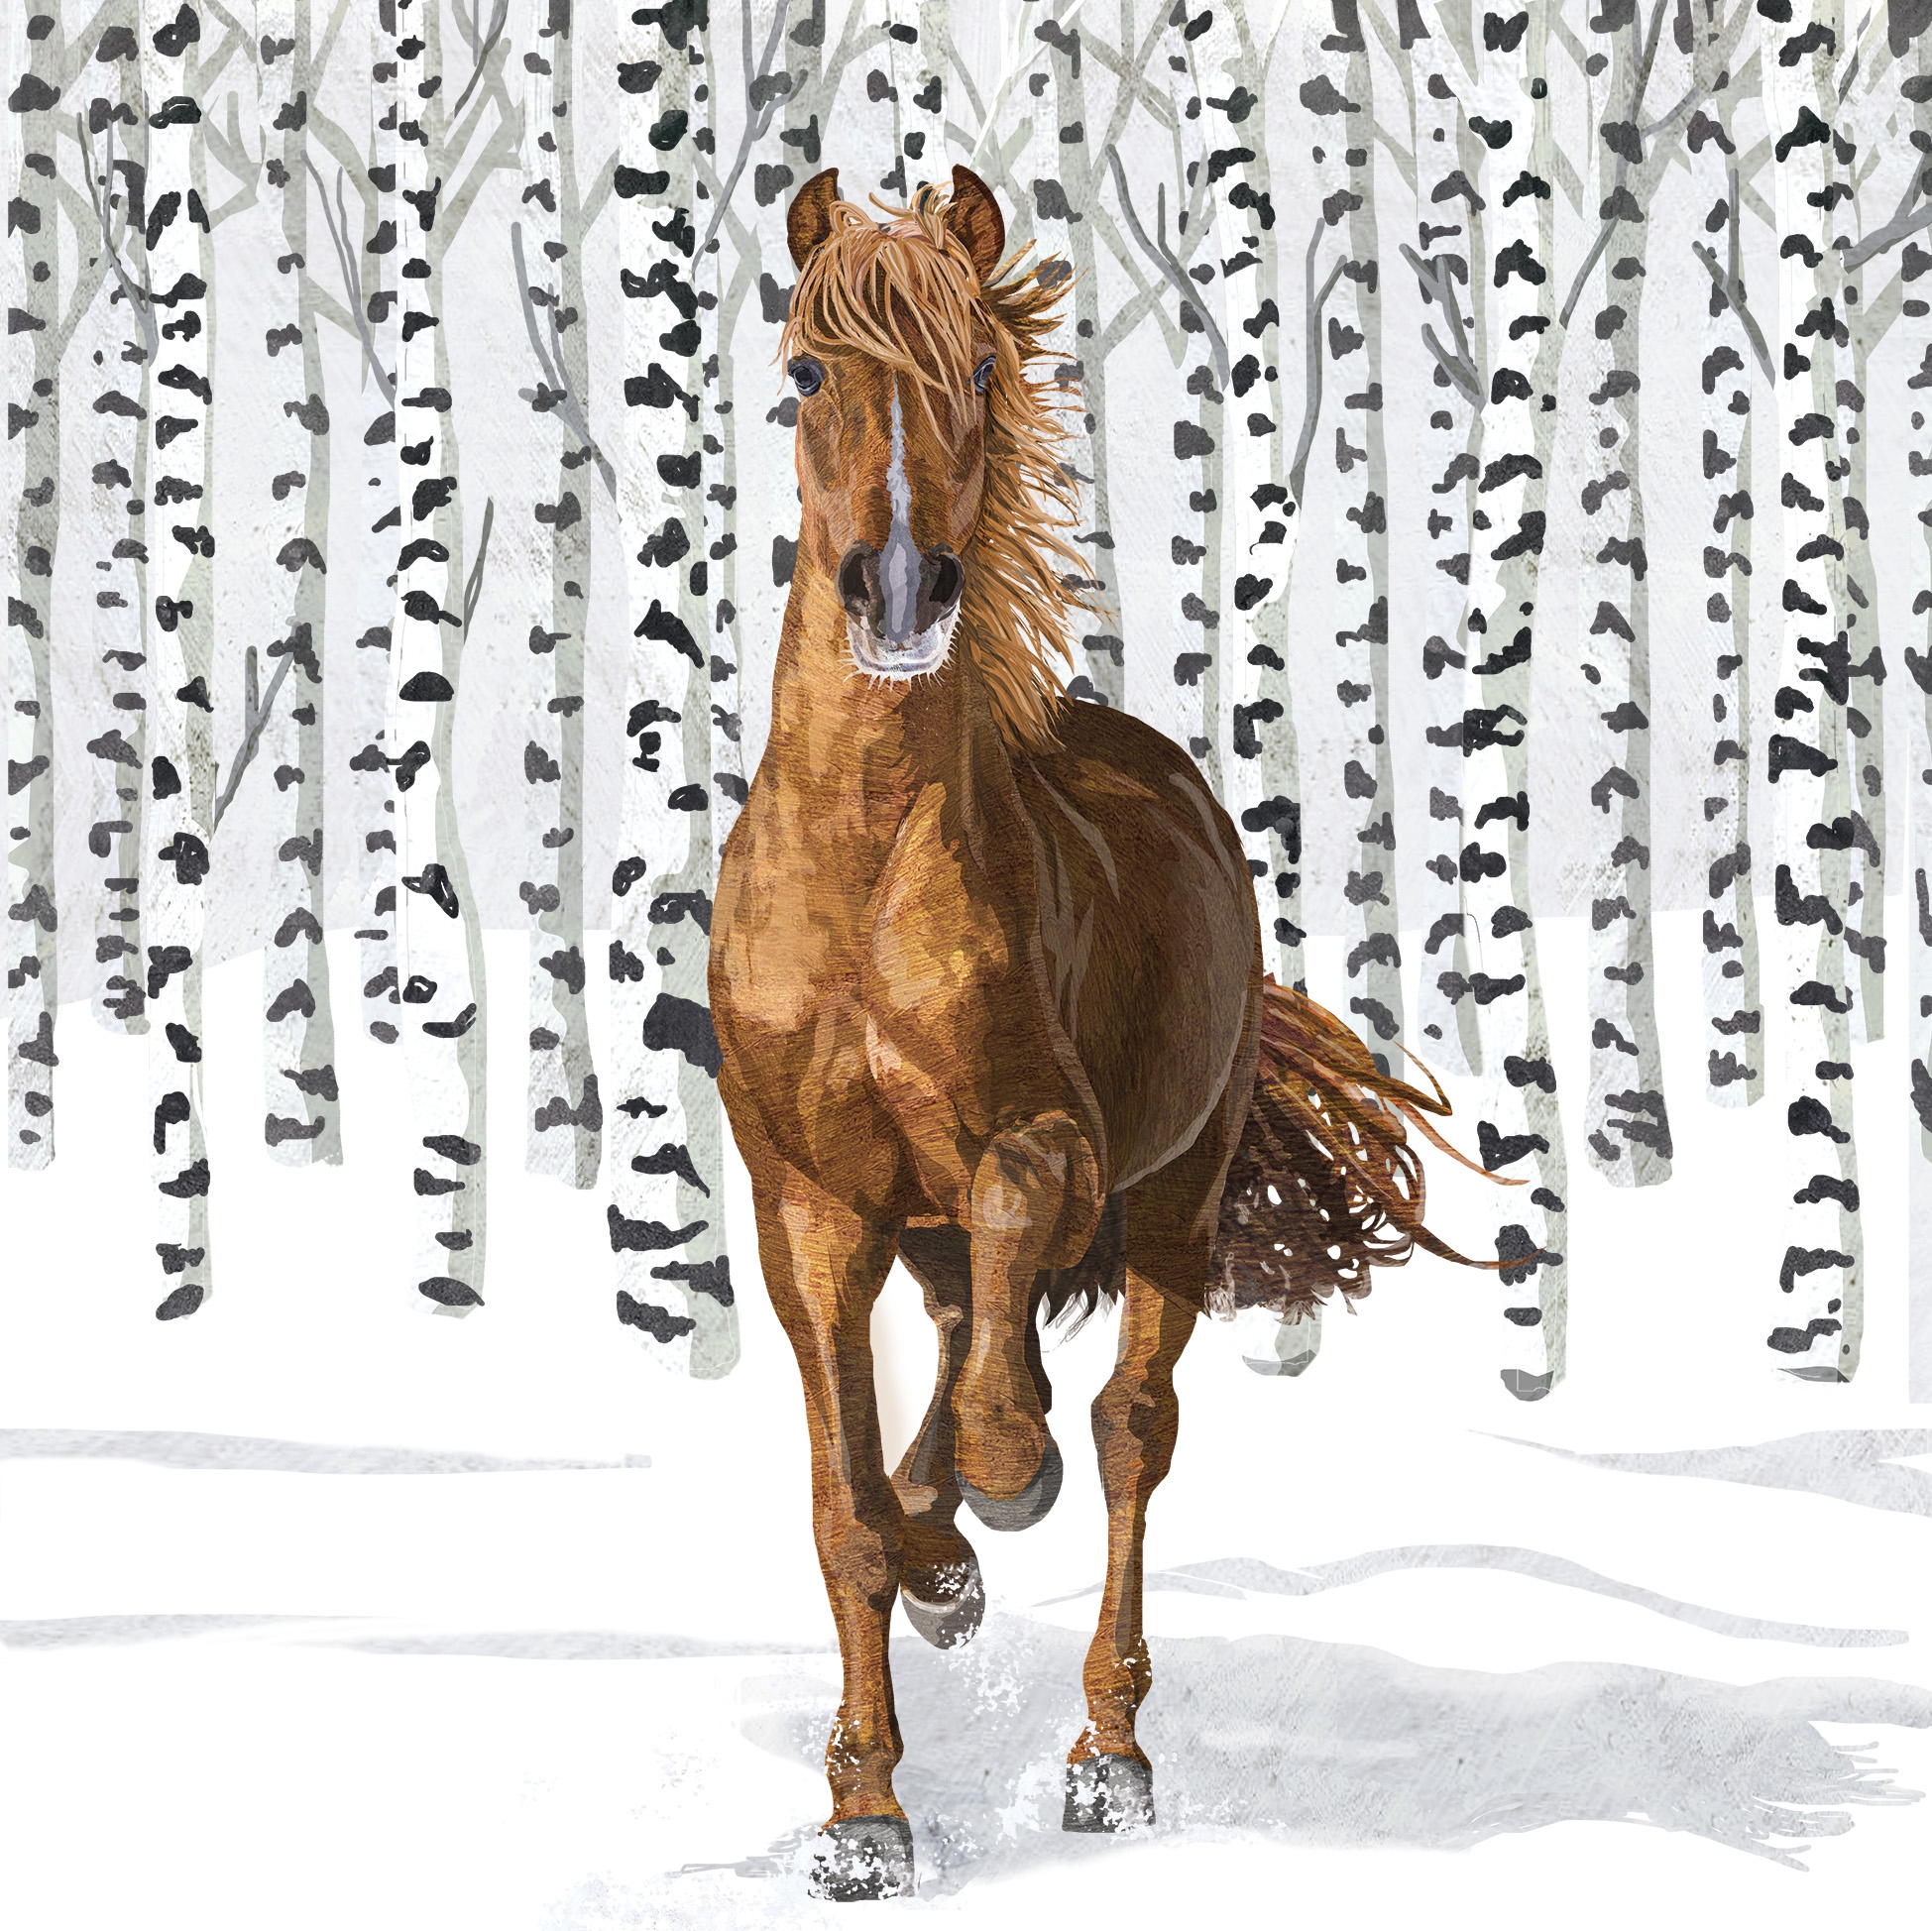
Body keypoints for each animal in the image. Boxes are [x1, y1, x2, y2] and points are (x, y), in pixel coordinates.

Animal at [710, 165, 1486, 1901]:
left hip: (1176, 1200)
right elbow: (844, 1512)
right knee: (949, 1354)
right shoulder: (809, 1208)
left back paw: (1107, 1754)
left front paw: (1000, 1507)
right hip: (922, 1231)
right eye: (805, 374)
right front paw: (863, 1816)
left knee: (1131, 1428)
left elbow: (1015, 1414)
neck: (867, 868)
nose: (904, 596)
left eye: (980, 374)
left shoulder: (1042, 1146)